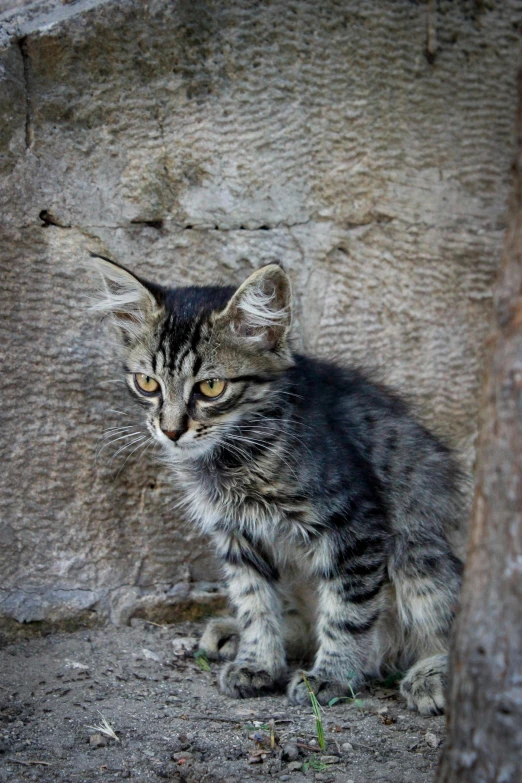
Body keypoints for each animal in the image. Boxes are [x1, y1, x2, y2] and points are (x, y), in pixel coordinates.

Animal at [89, 258, 464, 716]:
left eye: (210, 387)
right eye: (147, 383)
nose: (171, 430)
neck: (236, 453)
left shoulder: (356, 527)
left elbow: (347, 612)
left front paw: (332, 676)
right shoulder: (236, 534)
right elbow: (255, 603)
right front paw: (258, 661)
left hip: (417, 551)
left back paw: (431, 675)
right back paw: (234, 633)